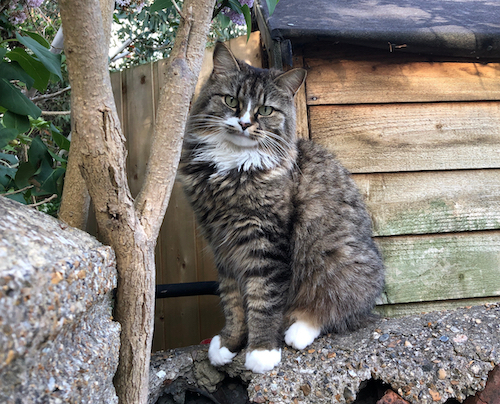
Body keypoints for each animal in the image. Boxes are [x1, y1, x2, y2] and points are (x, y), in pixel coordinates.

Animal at [180, 43, 382, 372]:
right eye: (231, 100)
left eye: (265, 110)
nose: (245, 123)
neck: (232, 167)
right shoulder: (222, 244)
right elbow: (233, 302)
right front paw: (229, 343)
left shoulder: (266, 242)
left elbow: (263, 299)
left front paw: (261, 350)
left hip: (336, 261)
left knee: (335, 309)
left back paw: (298, 330)